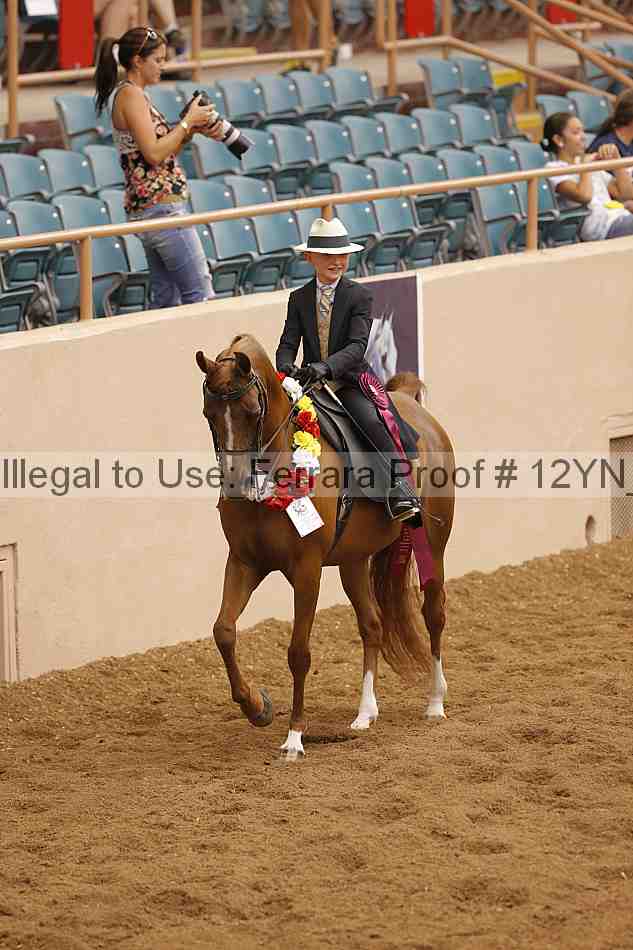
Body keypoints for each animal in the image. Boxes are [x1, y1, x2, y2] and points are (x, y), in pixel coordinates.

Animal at [195, 334, 455, 761]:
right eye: (208, 414)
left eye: (251, 411)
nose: (234, 484)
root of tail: (411, 406)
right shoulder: (244, 562)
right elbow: (224, 632)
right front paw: (257, 708)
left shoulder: (307, 570)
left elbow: (298, 653)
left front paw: (295, 737)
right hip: (354, 561)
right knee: (372, 625)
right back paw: (365, 713)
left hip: (434, 543)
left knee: (433, 614)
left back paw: (435, 701)